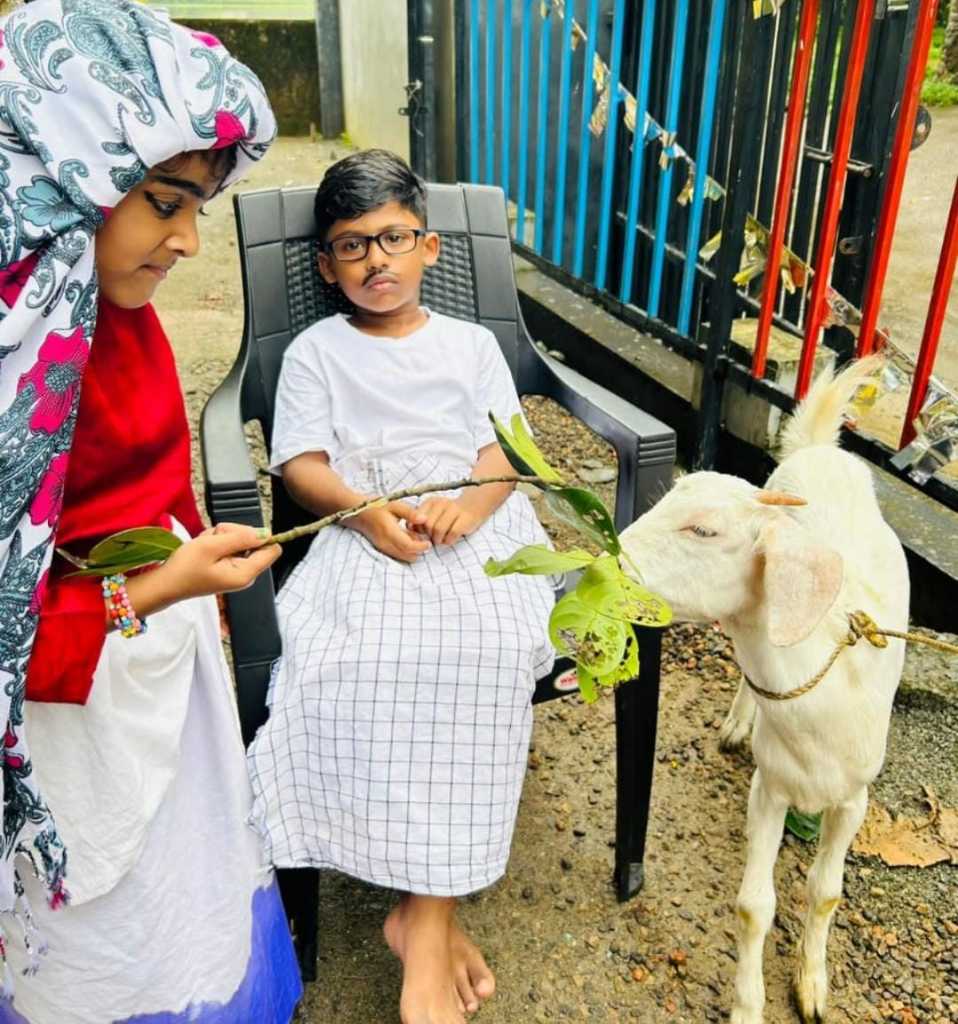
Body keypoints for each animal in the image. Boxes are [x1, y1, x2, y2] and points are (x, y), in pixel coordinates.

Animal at [618, 356, 909, 1023]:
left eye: (704, 530)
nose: (610, 559)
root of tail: (821, 447)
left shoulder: (855, 797)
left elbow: (826, 892)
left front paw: (812, 985)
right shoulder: (769, 788)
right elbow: (755, 905)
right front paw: (749, 1004)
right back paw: (737, 721)